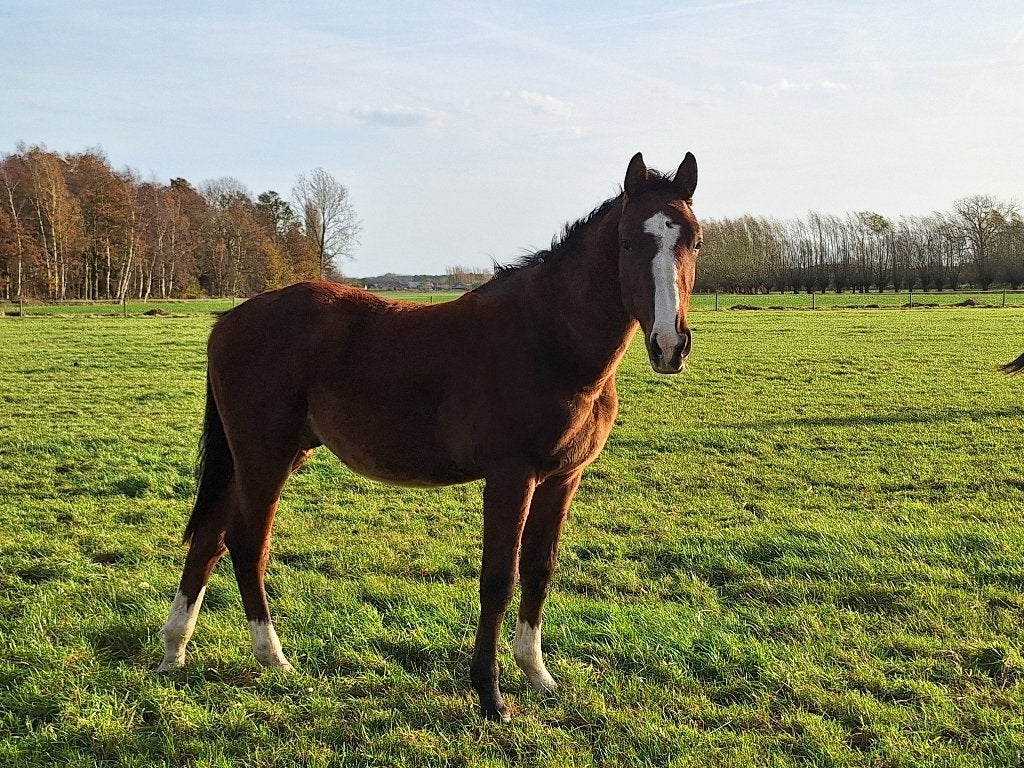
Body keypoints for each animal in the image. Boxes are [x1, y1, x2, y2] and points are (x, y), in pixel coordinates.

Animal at [158, 151, 702, 721]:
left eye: (694, 241)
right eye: (627, 242)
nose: (670, 345)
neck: (547, 340)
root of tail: (228, 320)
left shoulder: (562, 478)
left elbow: (539, 569)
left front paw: (537, 674)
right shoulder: (511, 477)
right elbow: (499, 579)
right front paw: (490, 694)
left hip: (261, 458)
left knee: (209, 539)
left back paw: (174, 650)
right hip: (265, 456)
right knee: (246, 543)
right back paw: (273, 657)